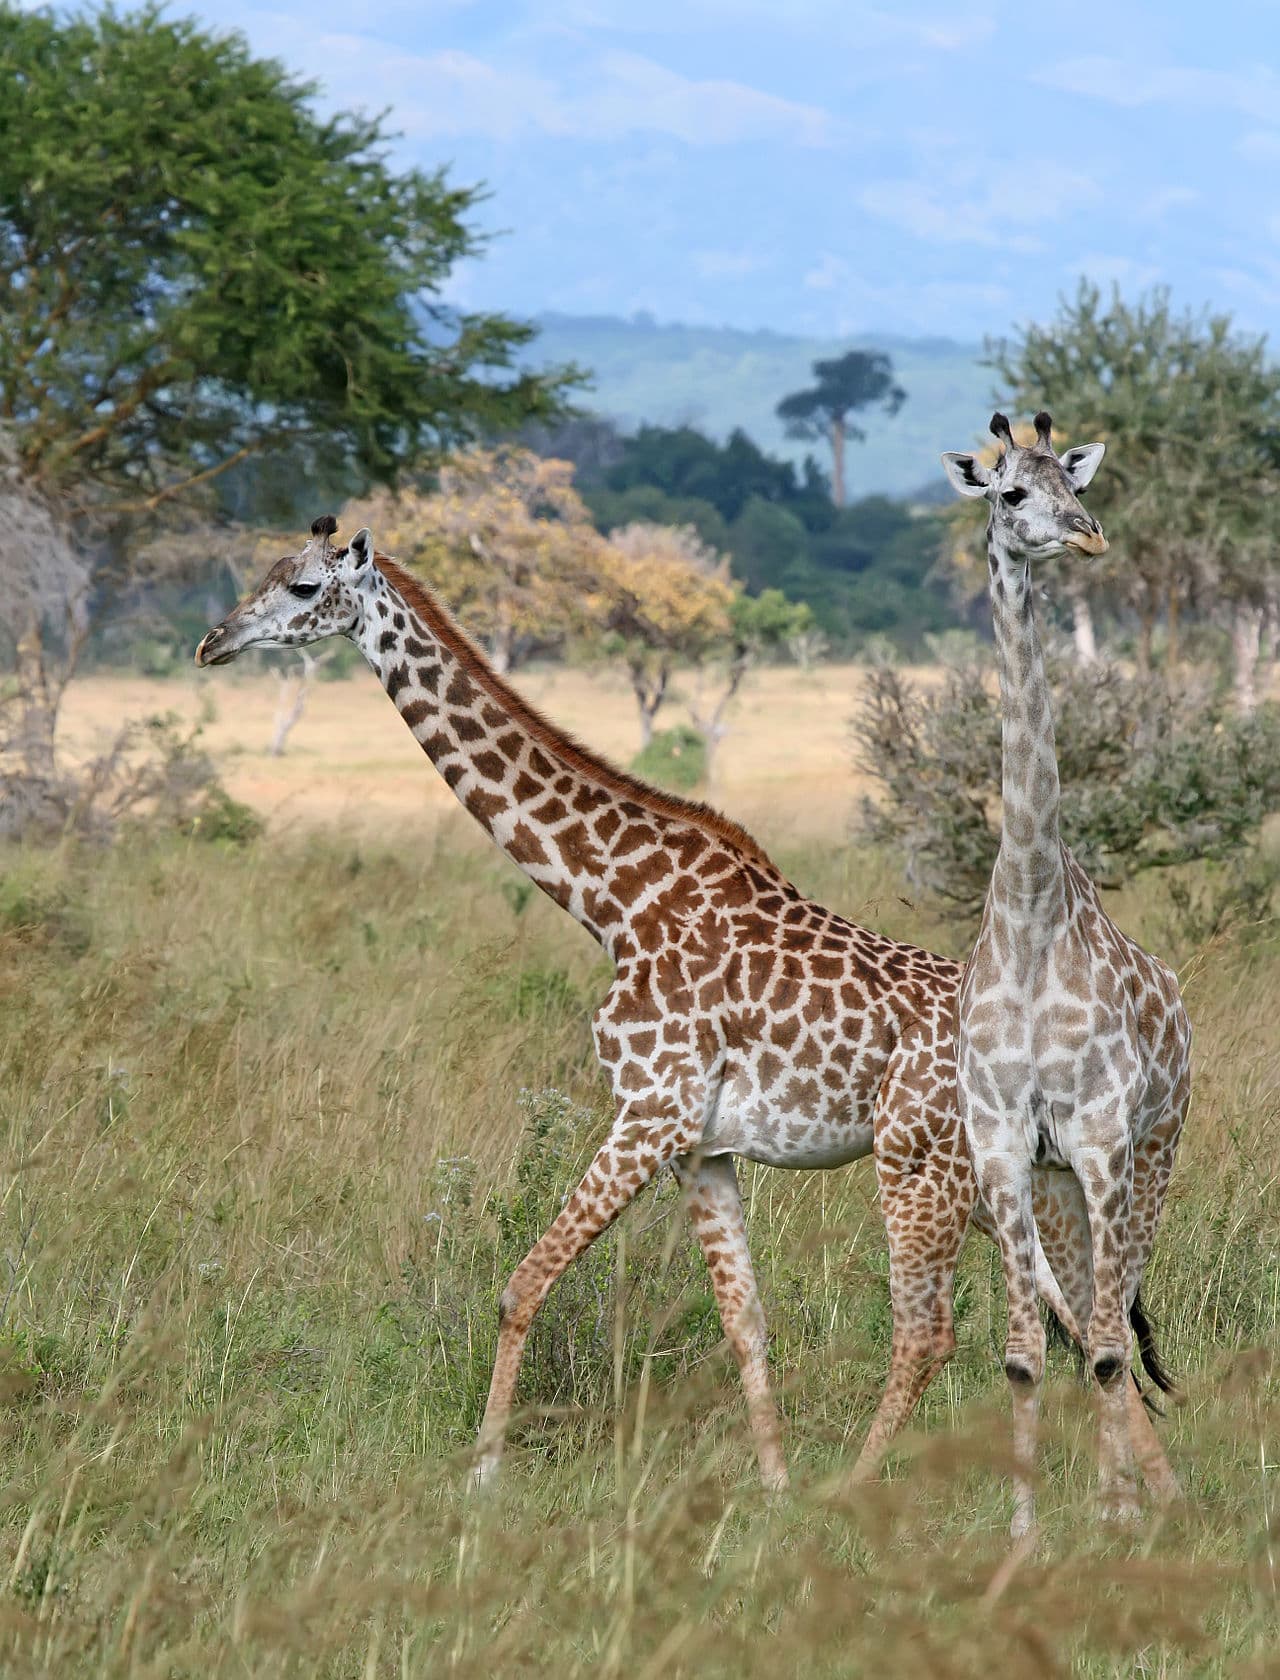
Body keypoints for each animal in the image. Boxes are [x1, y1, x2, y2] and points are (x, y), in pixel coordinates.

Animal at [194, 513, 1170, 1496]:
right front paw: (773, 1489)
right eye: (264, 572)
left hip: (923, 1165)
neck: (611, 900)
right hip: (1015, 1182)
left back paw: (862, 1490)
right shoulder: (702, 1148)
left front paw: (482, 1477)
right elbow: (745, 1321)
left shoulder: (648, 1112)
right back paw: (1157, 1493)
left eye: (305, 588)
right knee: (1097, 1322)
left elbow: (522, 1285)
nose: (213, 643)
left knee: (938, 1332)